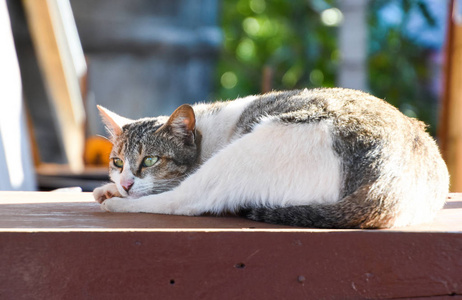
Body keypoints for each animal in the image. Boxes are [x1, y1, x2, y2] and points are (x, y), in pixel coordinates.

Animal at [92, 88, 450, 229]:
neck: (207, 131)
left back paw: (117, 204)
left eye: (150, 161)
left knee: (183, 201)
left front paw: (115, 195)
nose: (125, 184)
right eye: (117, 163)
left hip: (253, 147)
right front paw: (110, 187)